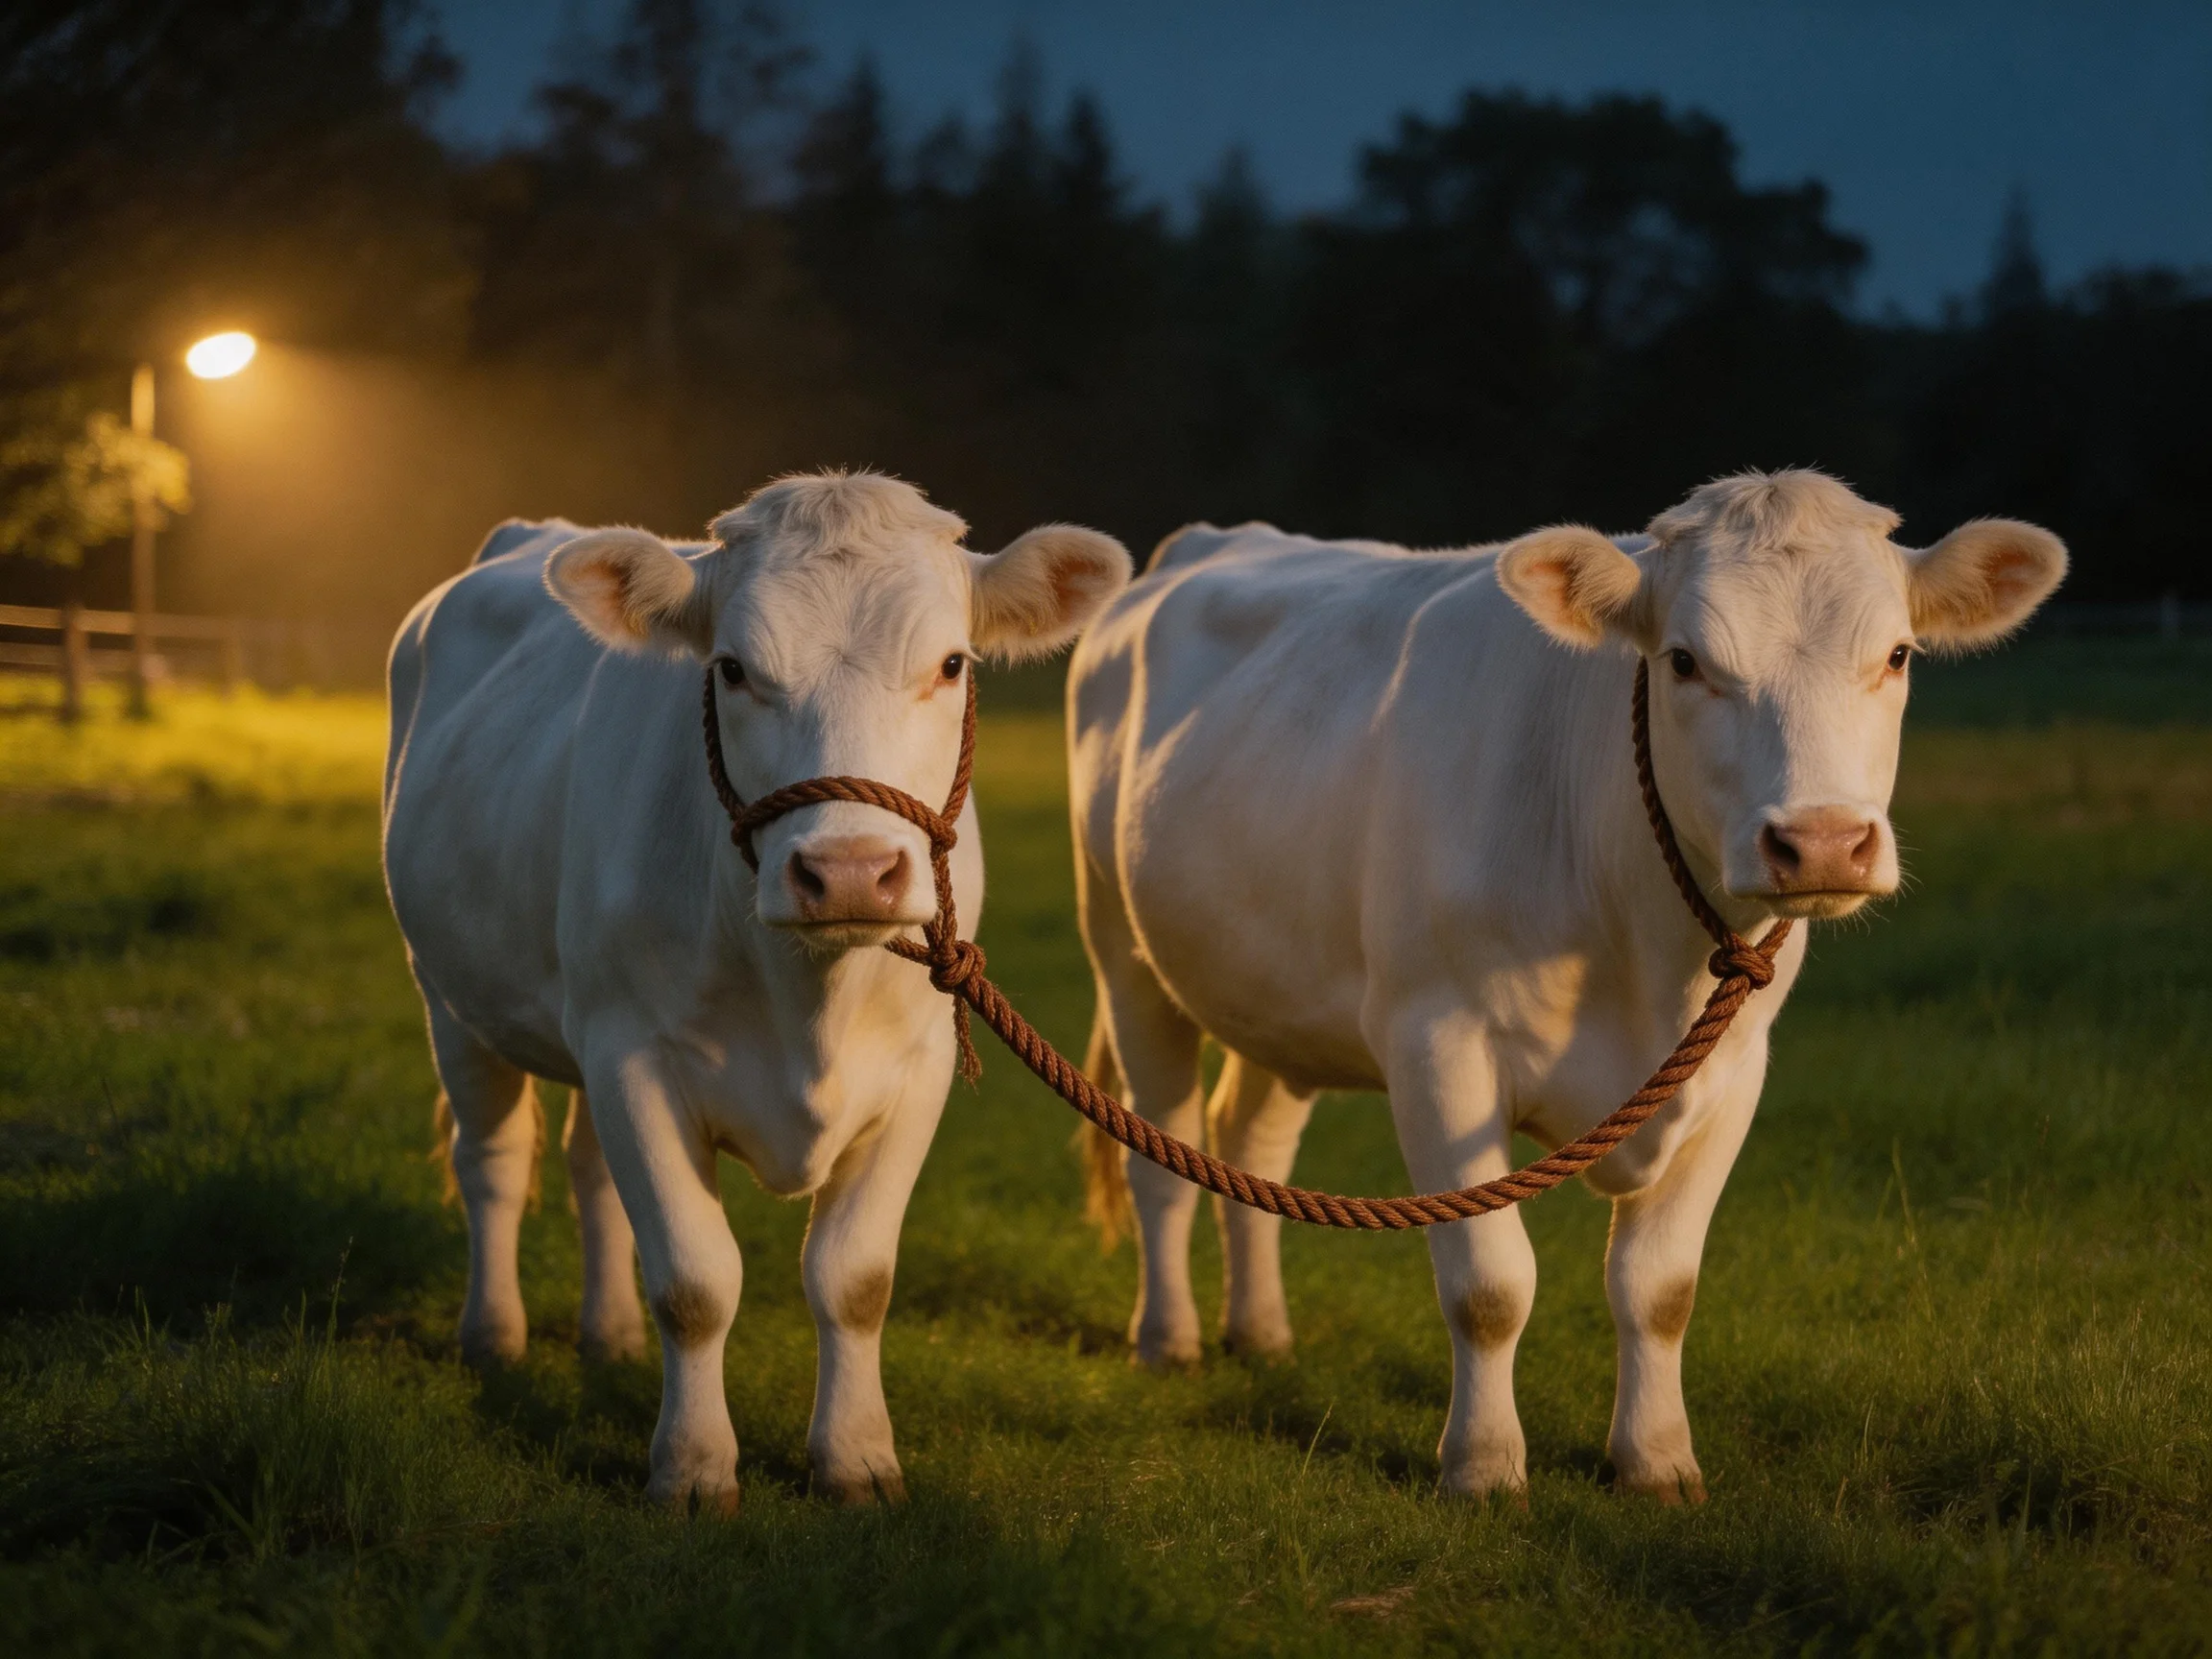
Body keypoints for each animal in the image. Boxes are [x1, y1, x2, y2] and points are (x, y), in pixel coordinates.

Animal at [383, 471, 1130, 1511]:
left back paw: (610, 1335)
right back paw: (493, 1338)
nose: (850, 872)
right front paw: (694, 1469)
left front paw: (855, 1458)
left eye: (950, 663)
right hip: (451, 996)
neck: (807, 1007)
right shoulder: (635, 1056)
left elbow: (855, 1278)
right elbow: (696, 1282)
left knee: (585, 1168)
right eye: (733, 669)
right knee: (492, 1162)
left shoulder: (917, 1070)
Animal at [1068, 469, 2063, 1501]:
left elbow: (1660, 1288)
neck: (1644, 953)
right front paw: (1482, 1466)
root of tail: (1210, 541)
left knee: (1247, 1139)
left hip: (1272, 982)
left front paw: (1657, 1460)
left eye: (1899, 654)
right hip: (1122, 949)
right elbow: (1490, 1284)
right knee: (1163, 1151)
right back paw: (1168, 1338)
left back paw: (1261, 1333)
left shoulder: (1734, 1067)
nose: (1822, 841)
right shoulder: (1438, 1044)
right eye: (1683, 661)